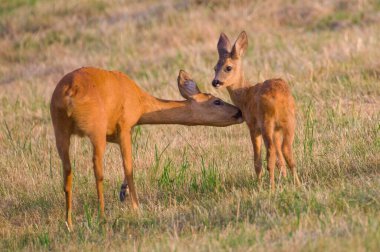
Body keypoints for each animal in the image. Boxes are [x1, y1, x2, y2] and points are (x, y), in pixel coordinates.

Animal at [50, 67, 242, 228]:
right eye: (217, 101)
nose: (239, 112)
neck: (141, 104)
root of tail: (70, 93)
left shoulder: (115, 134)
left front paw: (123, 192)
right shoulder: (124, 126)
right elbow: (128, 166)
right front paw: (136, 207)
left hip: (59, 128)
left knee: (67, 172)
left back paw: (68, 223)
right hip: (95, 127)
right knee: (98, 169)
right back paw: (102, 216)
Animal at [211, 31, 300, 189]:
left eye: (228, 67)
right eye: (215, 68)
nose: (215, 82)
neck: (245, 95)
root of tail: (280, 100)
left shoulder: (252, 125)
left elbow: (257, 160)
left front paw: (259, 184)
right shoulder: (277, 130)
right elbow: (280, 159)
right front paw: (283, 179)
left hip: (266, 122)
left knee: (270, 154)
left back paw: (271, 188)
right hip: (289, 121)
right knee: (286, 150)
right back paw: (298, 184)